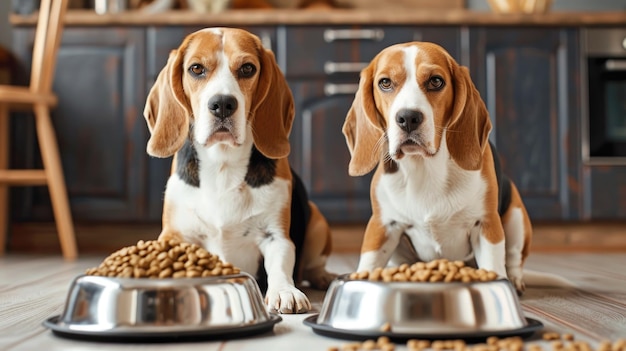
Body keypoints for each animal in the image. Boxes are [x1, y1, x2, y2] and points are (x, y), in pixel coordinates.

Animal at [143, 28, 334, 314]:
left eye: (247, 68)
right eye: (196, 68)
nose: (222, 104)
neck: (223, 164)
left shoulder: (276, 235)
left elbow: (280, 266)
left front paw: (285, 291)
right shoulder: (175, 235)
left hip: (318, 222)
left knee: (313, 266)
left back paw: (324, 277)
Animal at [344, 42, 528, 294]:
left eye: (436, 81)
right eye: (385, 83)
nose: (408, 117)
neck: (425, 168)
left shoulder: (487, 225)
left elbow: (493, 265)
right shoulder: (382, 225)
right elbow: (369, 261)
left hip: (516, 216)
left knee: (513, 257)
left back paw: (516, 280)